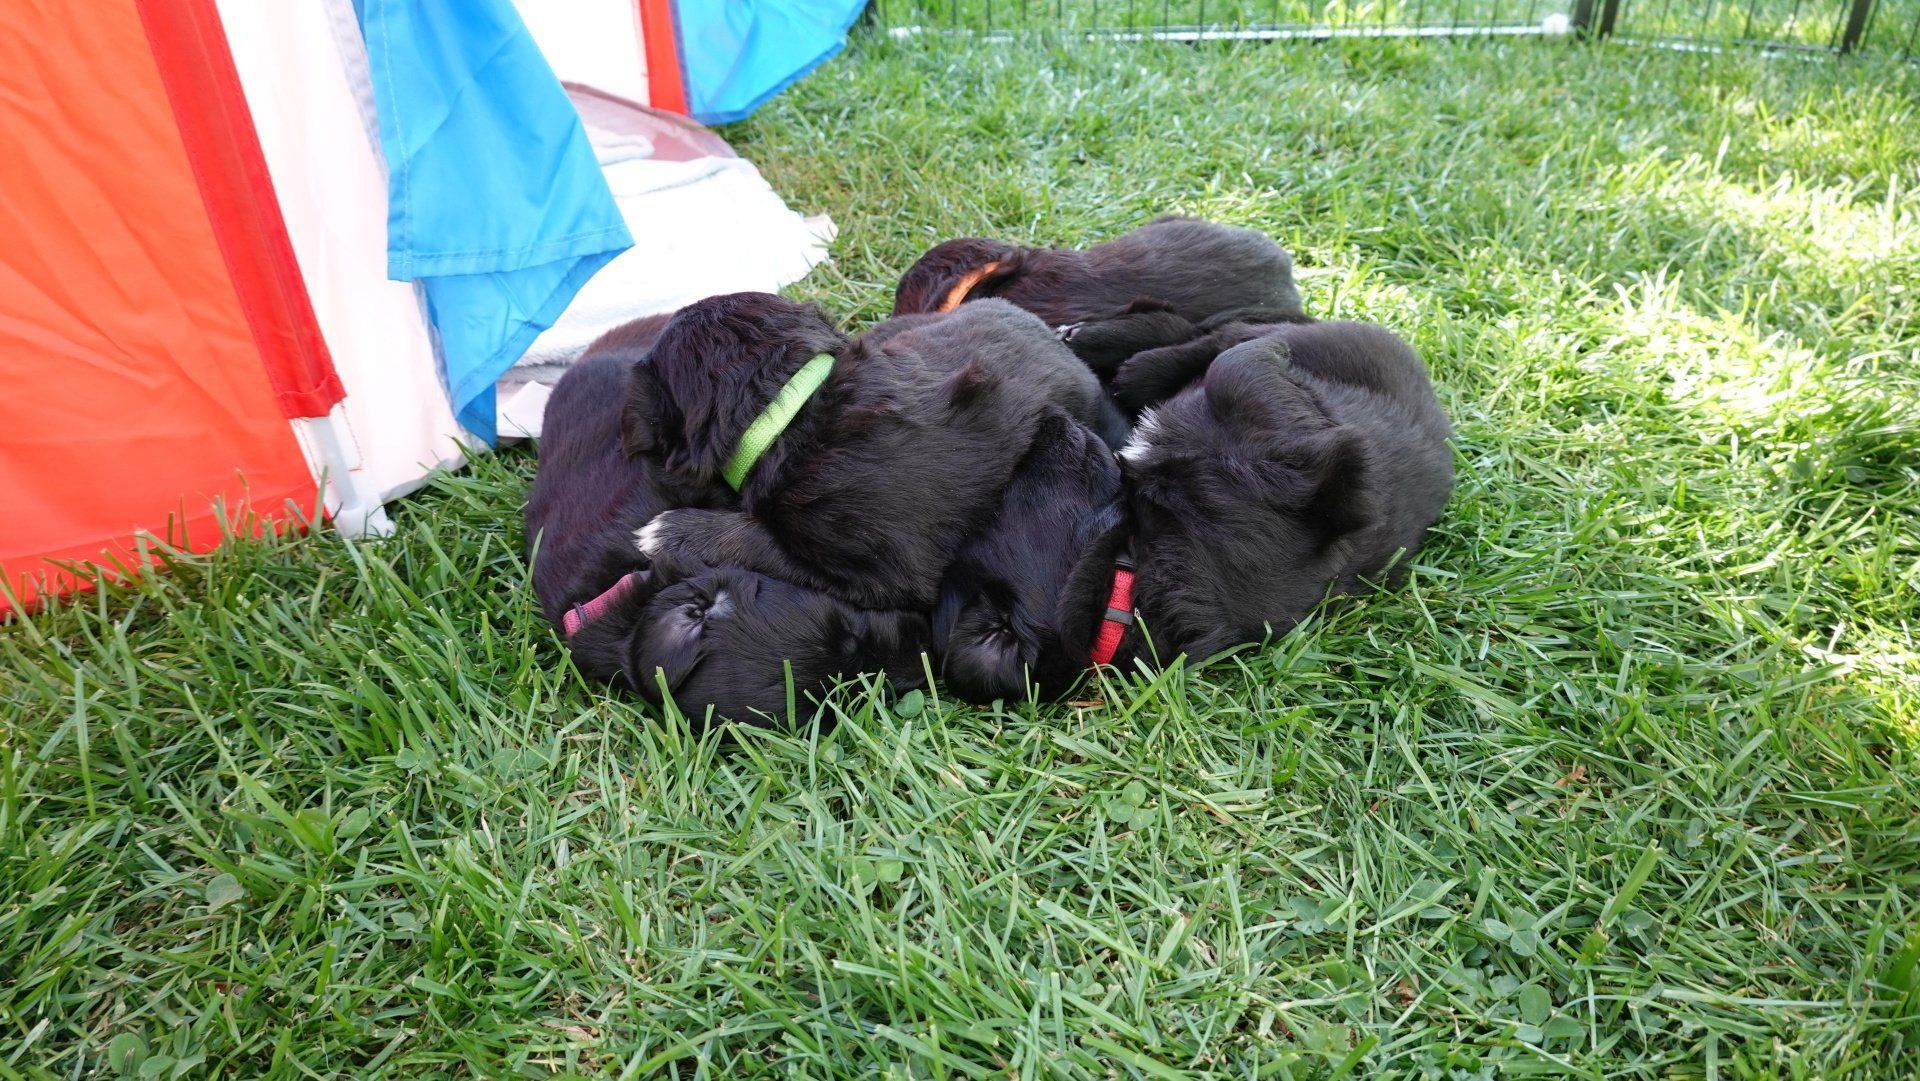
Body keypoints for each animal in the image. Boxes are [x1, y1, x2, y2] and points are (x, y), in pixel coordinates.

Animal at [936, 321, 1452, 700]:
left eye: (1006, 496)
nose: (1048, 421)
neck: (1133, 574)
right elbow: (1238, 370)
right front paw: (1267, 354)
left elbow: (1232, 367)